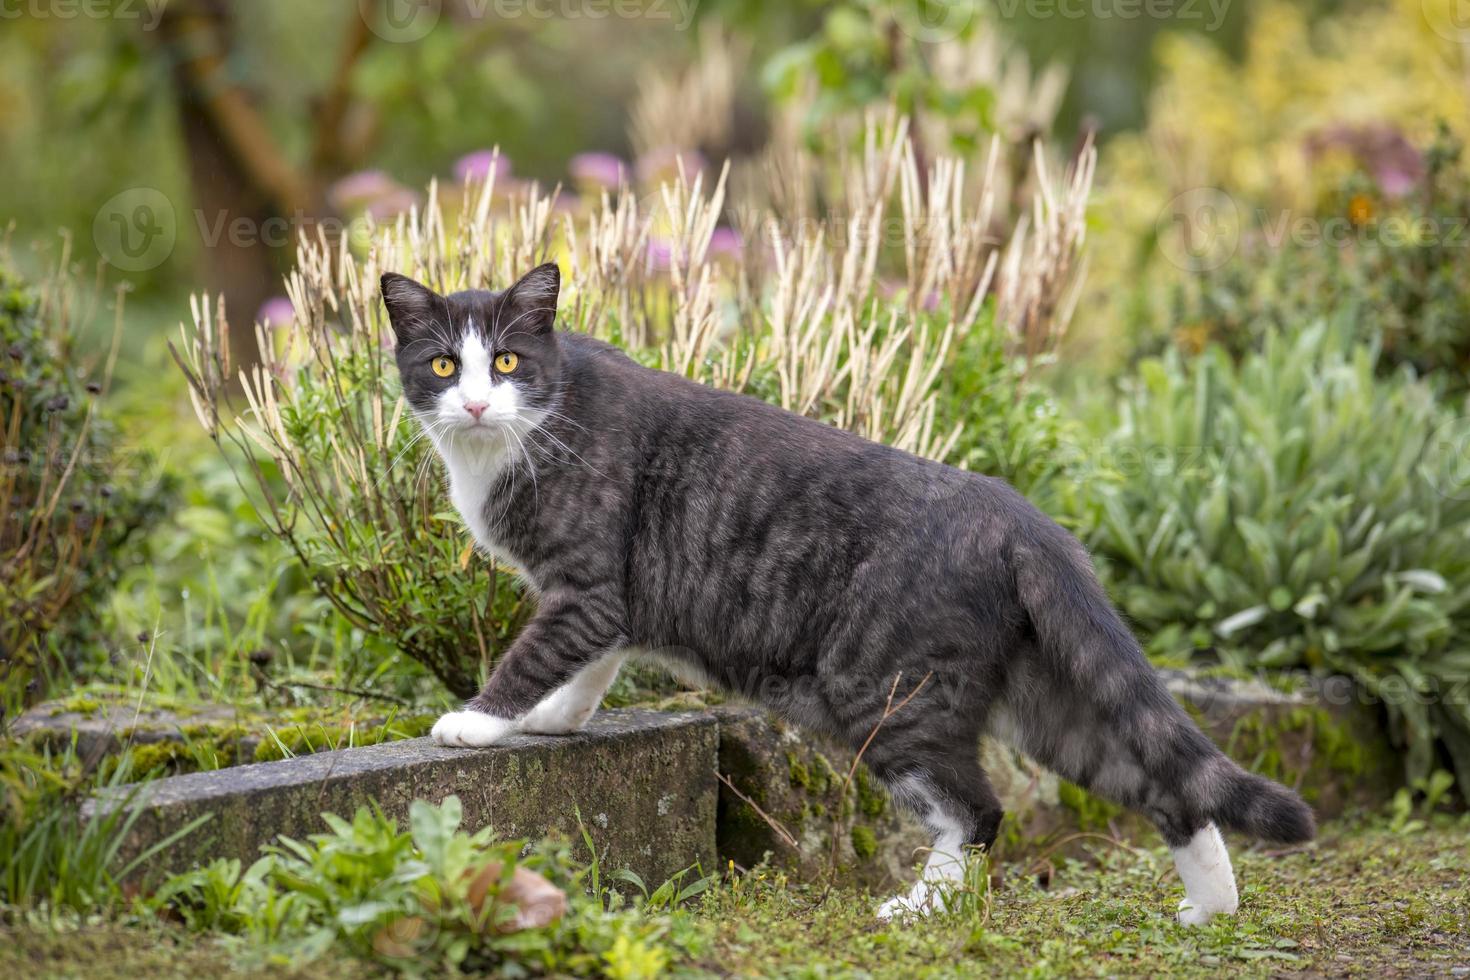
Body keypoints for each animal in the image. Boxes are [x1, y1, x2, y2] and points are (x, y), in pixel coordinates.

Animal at [385, 264, 1317, 922]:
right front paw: (557, 719)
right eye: (444, 363)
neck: (537, 418)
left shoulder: (586, 582)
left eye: (507, 361)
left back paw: (921, 908)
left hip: (884, 685)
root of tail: (1020, 518)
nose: (475, 403)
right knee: (1155, 779)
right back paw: (1212, 905)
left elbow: (542, 648)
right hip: (1040, 693)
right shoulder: (611, 600)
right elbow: (590, 662)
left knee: (977, 809)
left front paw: (477, 721)